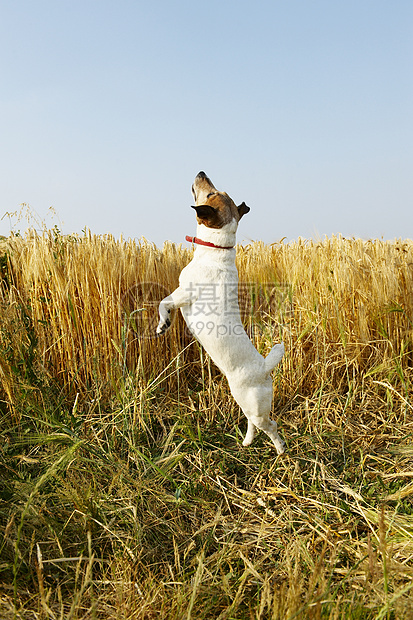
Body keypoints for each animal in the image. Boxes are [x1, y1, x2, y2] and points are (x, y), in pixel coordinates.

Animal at [156, 172, 284, 452]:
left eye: (210, 194)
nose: (201, 172)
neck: (216, 250)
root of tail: (264, 368)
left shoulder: (183, 294)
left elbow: (163, 303)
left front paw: (163, 324)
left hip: (255, 407)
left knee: (270, 427)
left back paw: (281, 450)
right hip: (244, 403)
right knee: (253, 424)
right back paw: (247, 441)